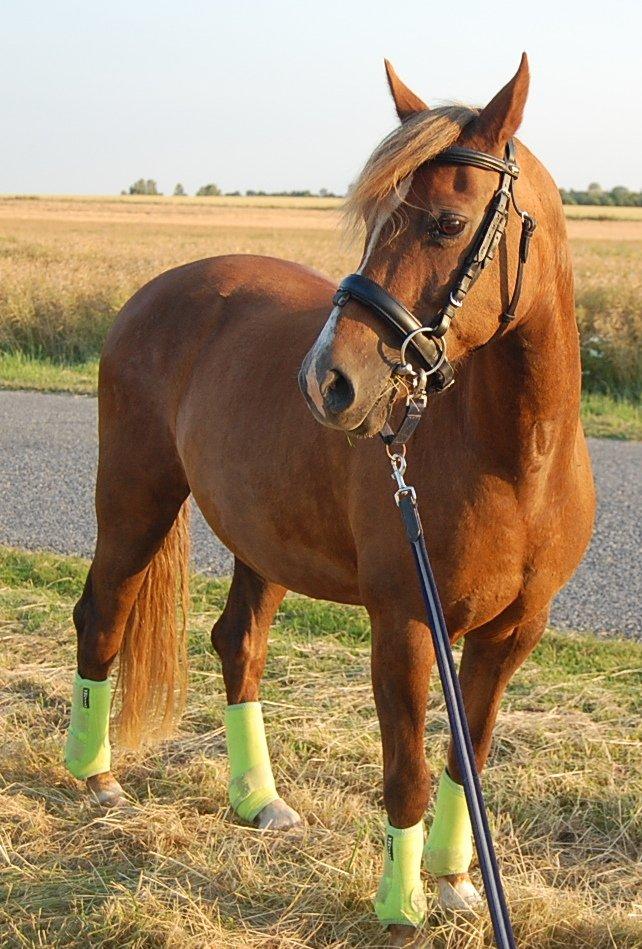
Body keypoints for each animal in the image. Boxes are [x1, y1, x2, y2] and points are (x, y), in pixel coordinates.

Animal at [64, 53, 595, 946]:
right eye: (377, 218)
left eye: (448, 223)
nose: (329, 380)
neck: (519, 460)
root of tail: (155, 292)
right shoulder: (405, 622)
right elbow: (407, 770)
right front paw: (402, 903)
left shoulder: (511, 636)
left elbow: (469, 760)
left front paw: (457, 885)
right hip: (135, 500)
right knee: (103, 613)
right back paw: (96, 779)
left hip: (263, 539)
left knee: (238, 642)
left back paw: (259, 799)